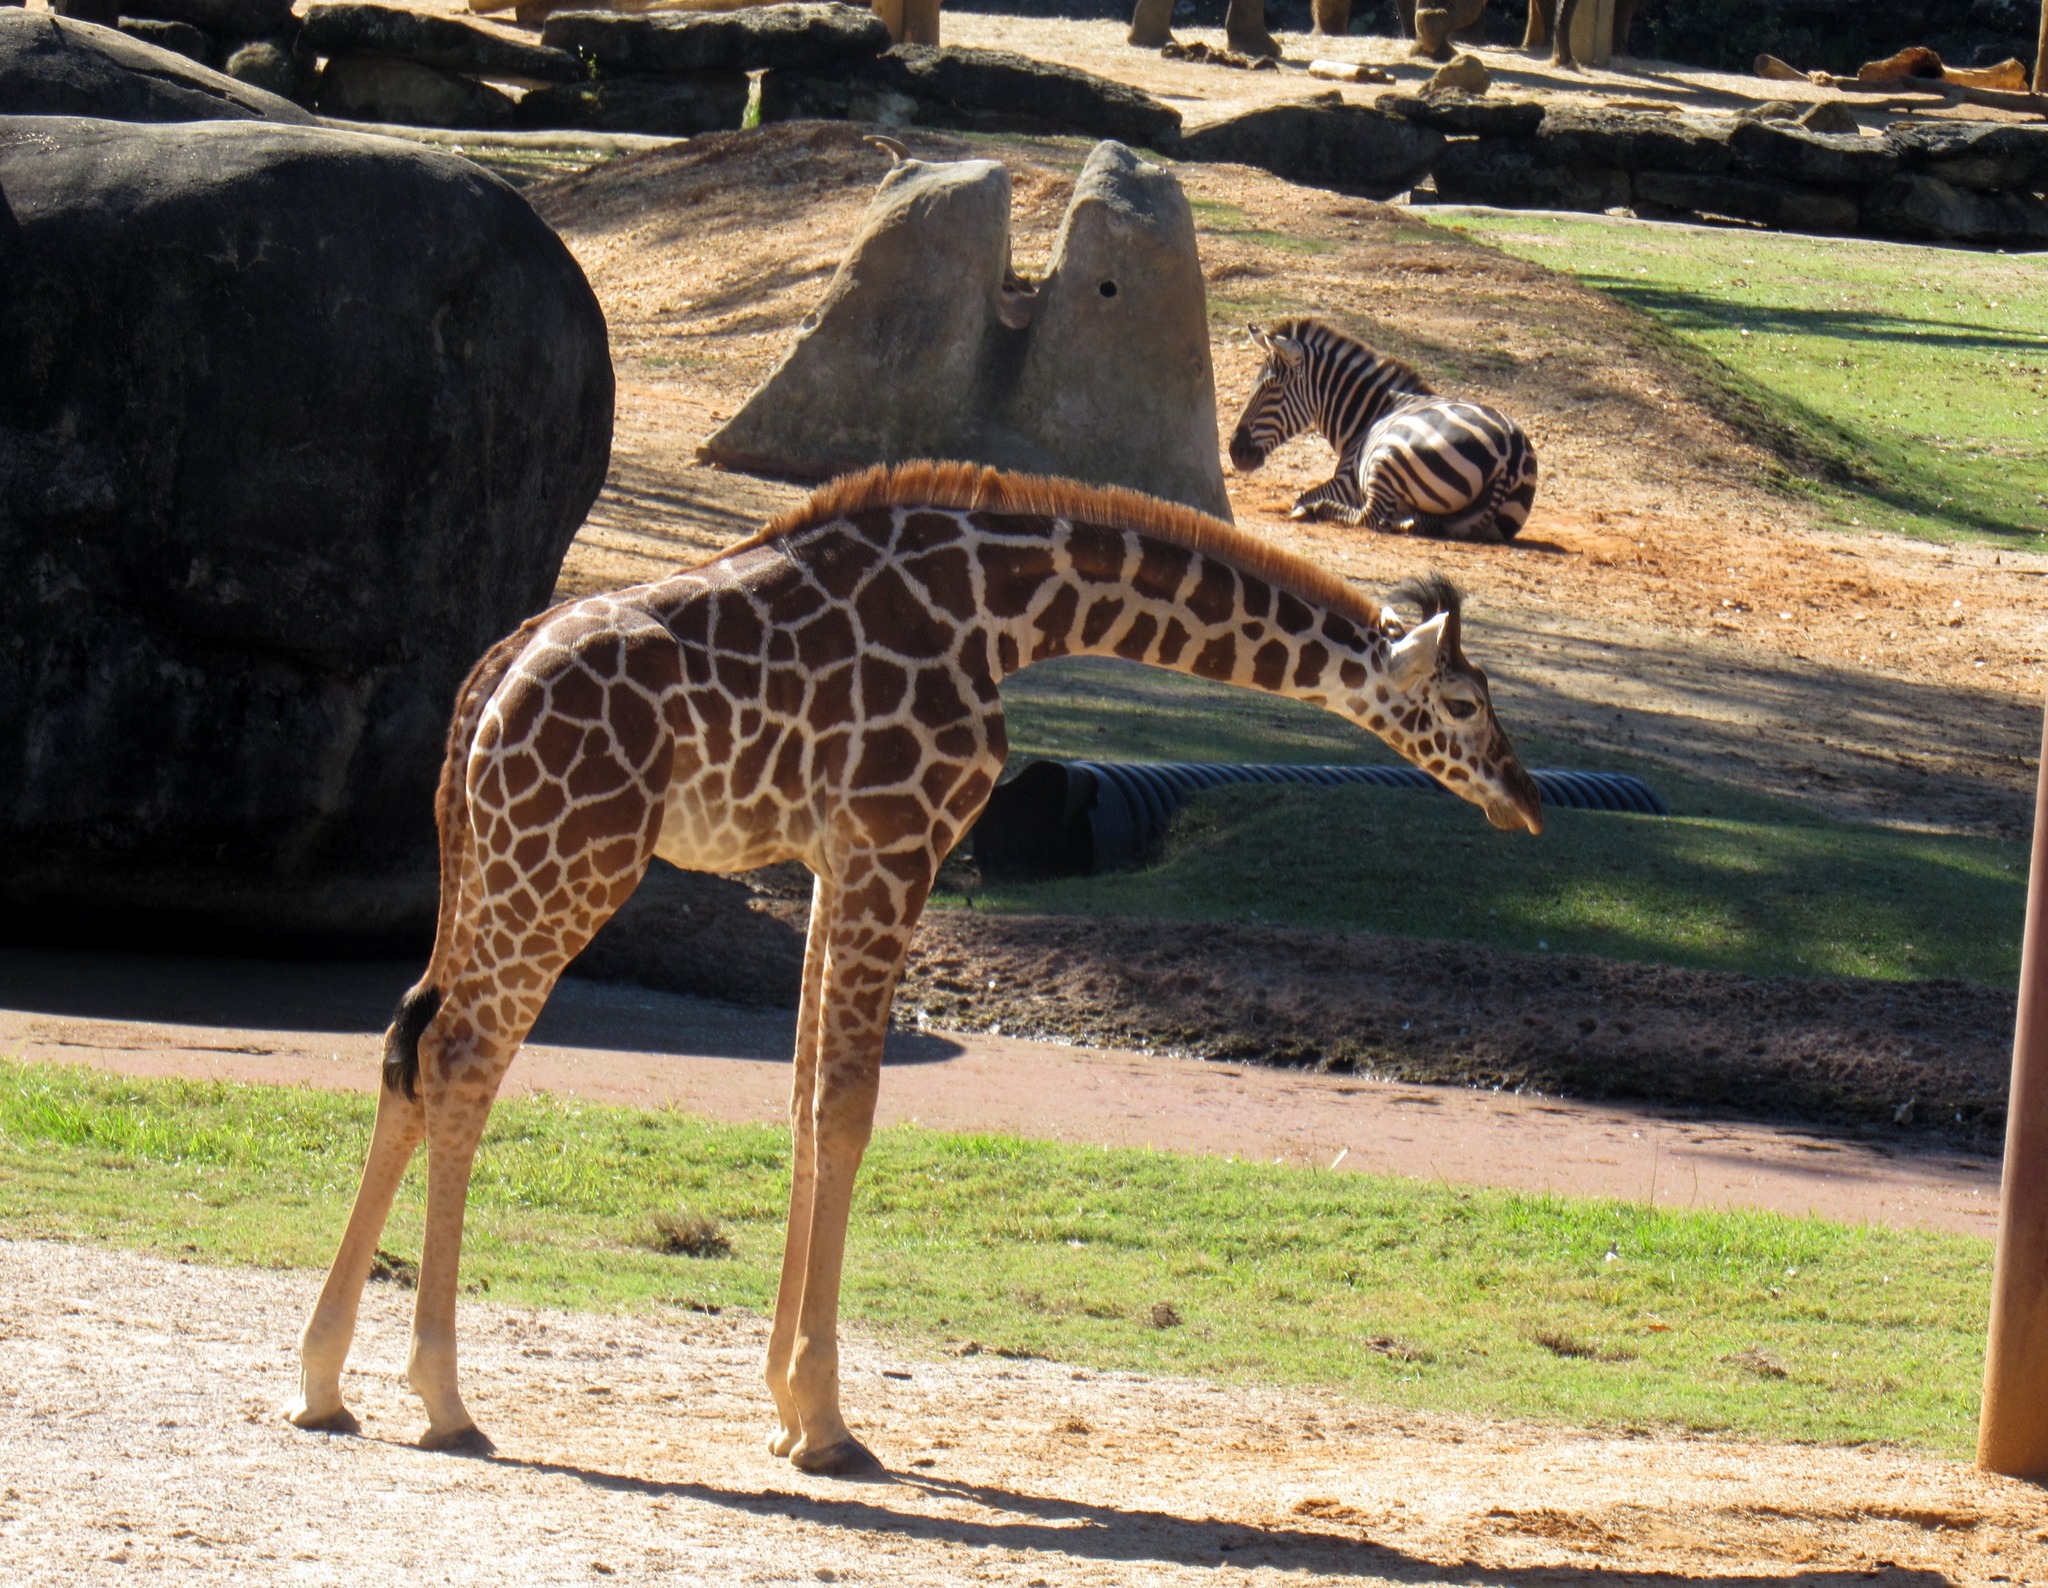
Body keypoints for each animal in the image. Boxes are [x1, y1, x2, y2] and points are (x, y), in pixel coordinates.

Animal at [285, 460, 1544, 1475]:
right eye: (1463, 701)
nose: (1523, 800)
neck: (1006, 612)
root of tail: (485, 683)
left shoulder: (830, 855)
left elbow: (802, 1099)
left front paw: (783, 1411)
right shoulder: (899, 841)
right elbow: (848, 1107)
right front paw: (827, 1426)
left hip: (484, 859)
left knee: (407, 1044)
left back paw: (324, 1384)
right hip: (572, 859)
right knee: (462, 1055)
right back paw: (443, 1401)